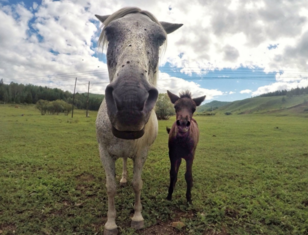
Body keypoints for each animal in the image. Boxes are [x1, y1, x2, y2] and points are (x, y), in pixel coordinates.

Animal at [96, 6, 182, 234]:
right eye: (109, 32)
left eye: (160, 38)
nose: (130, 101)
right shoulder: (103, 152)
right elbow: (110, 187)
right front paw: (110, 223)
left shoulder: (142, 153)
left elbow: (137, 184)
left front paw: (137, 218)